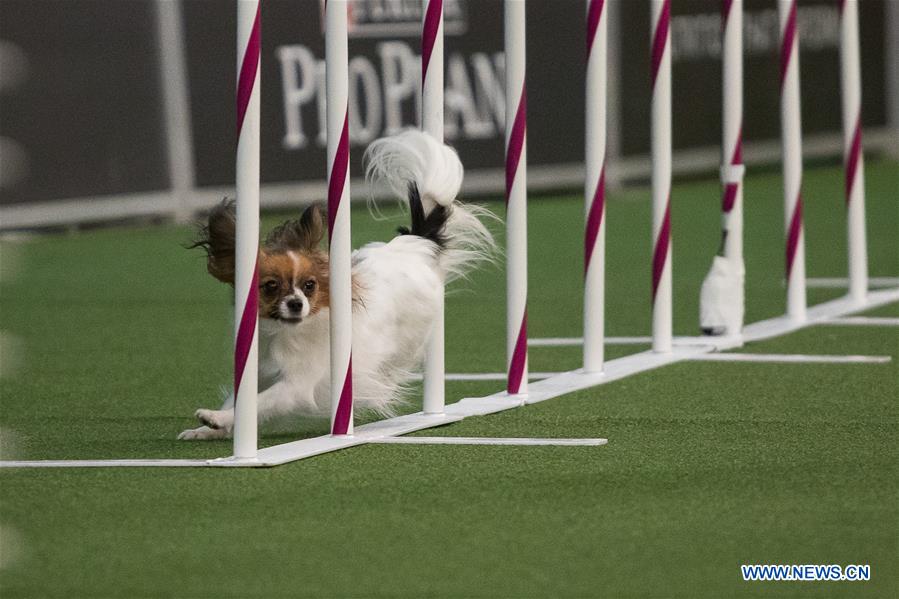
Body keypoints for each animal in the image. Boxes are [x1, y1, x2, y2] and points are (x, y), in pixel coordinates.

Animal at [178, 131, 496, 440]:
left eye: (309, 285)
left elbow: (258, 403)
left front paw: (216, 418)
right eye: (270, 286)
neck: (283, 333)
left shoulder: (296, 387)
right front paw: (207, 429)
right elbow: (238, 400)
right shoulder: (256, 372)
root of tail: (414, 243)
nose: (296, 304)